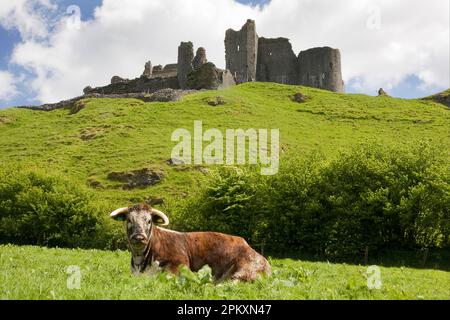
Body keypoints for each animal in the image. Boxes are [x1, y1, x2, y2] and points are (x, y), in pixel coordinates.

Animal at [110, 204, 270, 282]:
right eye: (129, 220)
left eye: (149, 220)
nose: (139, 237)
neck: (140, 262)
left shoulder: (179, 265)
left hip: (245, 269)